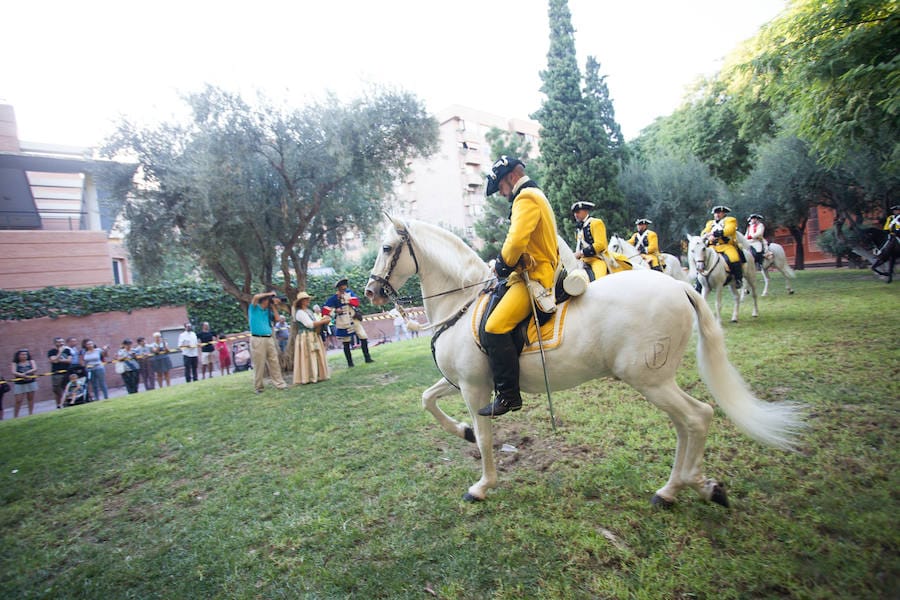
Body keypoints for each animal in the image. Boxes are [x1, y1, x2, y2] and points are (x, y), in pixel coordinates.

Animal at [366, 218, 800, 508]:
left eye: (386, 248)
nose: (371, 291)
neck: (463, 303)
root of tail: (678, 287)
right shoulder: (463, 382)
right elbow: (427, 399)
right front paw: (463, 432)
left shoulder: (475, 388)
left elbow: (487, 438)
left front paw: (482, 484)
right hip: (657, 382)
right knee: (687, 423)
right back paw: (684, 487)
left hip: (651, 381)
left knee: (697, 417)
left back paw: (684, 485)